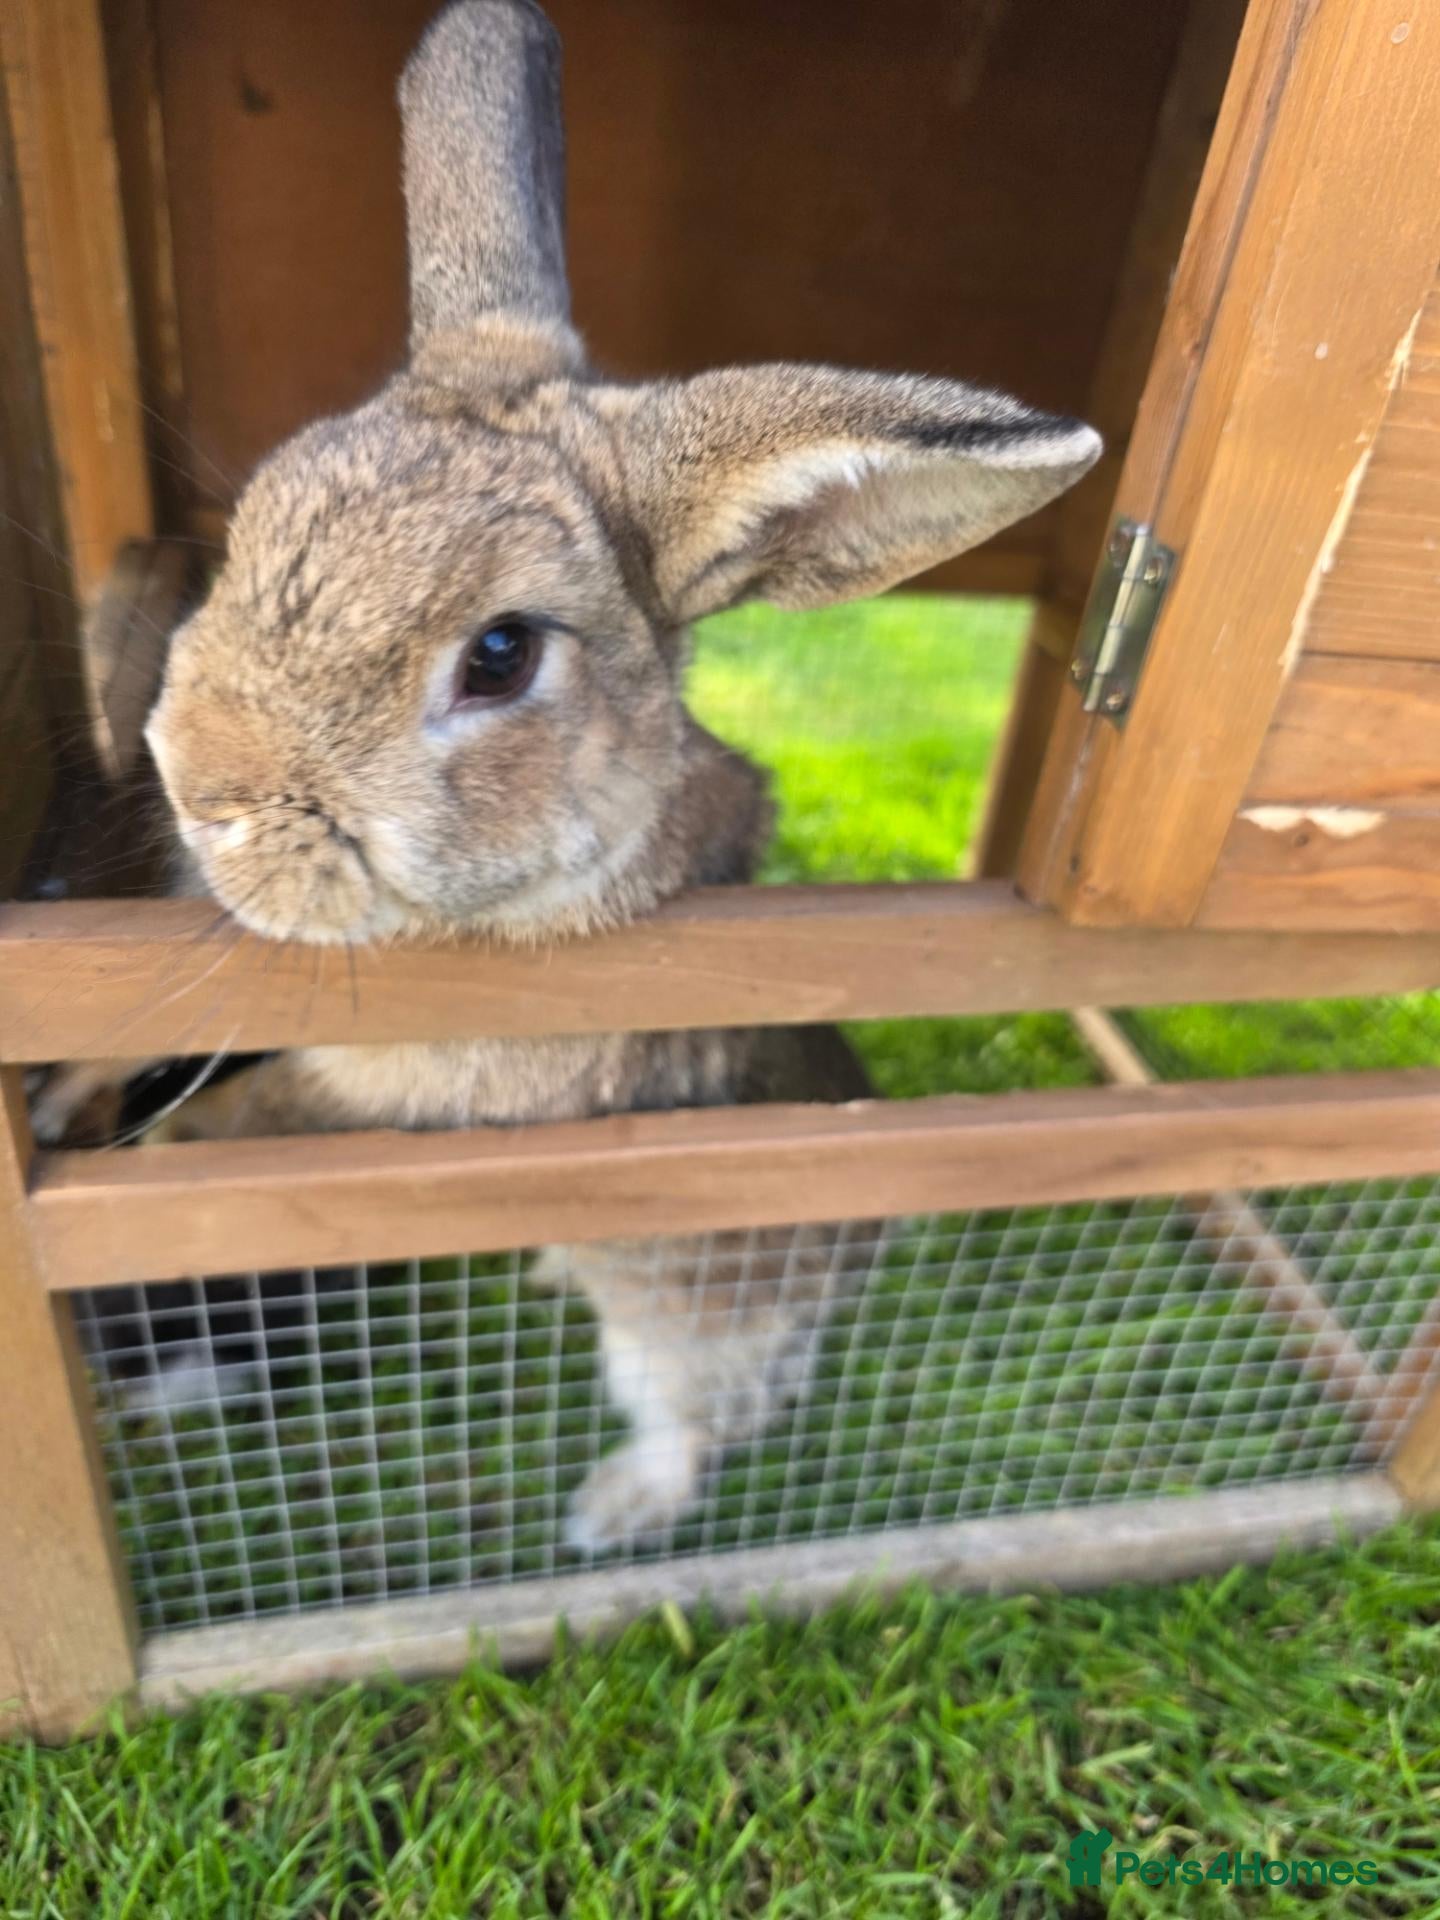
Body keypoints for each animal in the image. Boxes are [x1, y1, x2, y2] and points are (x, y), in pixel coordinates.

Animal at [103, 0, 1100, 1549]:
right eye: (251, 529)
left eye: (500, 656)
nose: (201, 790)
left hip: (678, 1320)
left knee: (704, 1422)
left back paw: (607, 1514)